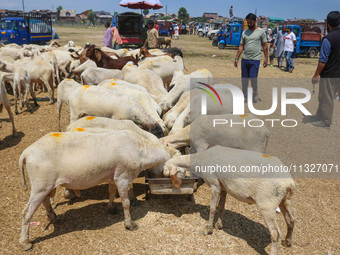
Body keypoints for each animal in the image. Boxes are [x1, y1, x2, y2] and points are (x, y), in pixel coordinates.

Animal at [18, 130, 170, 250]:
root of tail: (26, 154)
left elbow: (111, 193)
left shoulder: (112, 177)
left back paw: (54, 217)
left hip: (45, 185)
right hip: (41, 184)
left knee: (45, 201)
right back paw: (25, 243)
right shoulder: (122, 177)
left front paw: (111, 208)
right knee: (27, 213)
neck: (140, 151)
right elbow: (126, 203)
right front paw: (130, 224)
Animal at [166, 145, 296, 255]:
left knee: (275, 234)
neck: (201, 159)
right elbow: (221, 206)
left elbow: (212, 208)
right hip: (284, 200)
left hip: (267, 203)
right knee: (291, 220)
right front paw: (219, 225)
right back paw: (287, 242)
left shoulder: (215, 184)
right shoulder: (223, 187)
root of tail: (289, 183)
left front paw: (208, 229)